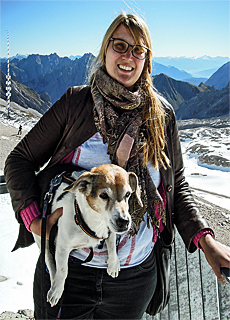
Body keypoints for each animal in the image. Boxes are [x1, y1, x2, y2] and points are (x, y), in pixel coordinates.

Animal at [33, 165, 143, 308]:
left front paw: (113, 263)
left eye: (128, 194)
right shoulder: (63, 247)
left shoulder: (110, 229)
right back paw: (54, 284)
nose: (124, 222)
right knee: (49, 260)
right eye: (103, 195)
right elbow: (63, 270)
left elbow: (112, 244)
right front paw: (57, 290)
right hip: (42, 235)